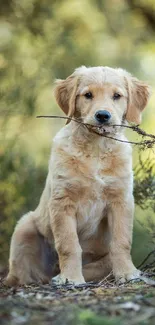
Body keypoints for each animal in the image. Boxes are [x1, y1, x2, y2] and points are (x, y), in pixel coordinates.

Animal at [5, 66, 150, 286]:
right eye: (87, 95)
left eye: (117, 96)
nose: (103, 115)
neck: (96, 149)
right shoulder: (62, 202)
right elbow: (68, 244)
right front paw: (70, 278)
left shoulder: (121, 200)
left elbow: (122, 241)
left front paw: (127, 273)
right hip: (24, 227)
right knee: (24, 274)